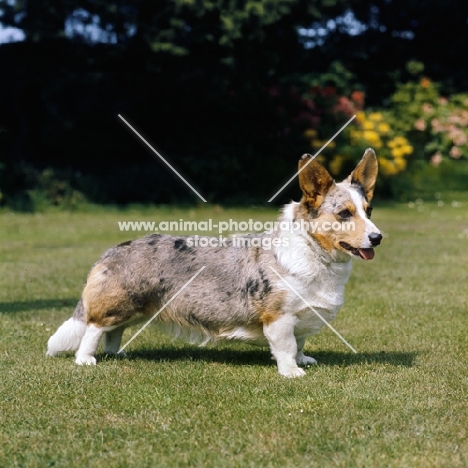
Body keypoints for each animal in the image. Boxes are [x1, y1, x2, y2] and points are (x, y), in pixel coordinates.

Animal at [45, 149, 382, 376]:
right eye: (344, 214)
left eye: (369, 210)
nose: (378, 238)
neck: (317, 255)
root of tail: (110, 252)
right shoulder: (279, 318)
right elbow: (286, 346)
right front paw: (292, 372)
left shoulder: (300, 318)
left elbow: (299, 344)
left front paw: (303, 361)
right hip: (118, 305)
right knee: (93, 329)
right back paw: (86, 360)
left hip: (134, 309)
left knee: (113, 333)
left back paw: (117, 354)